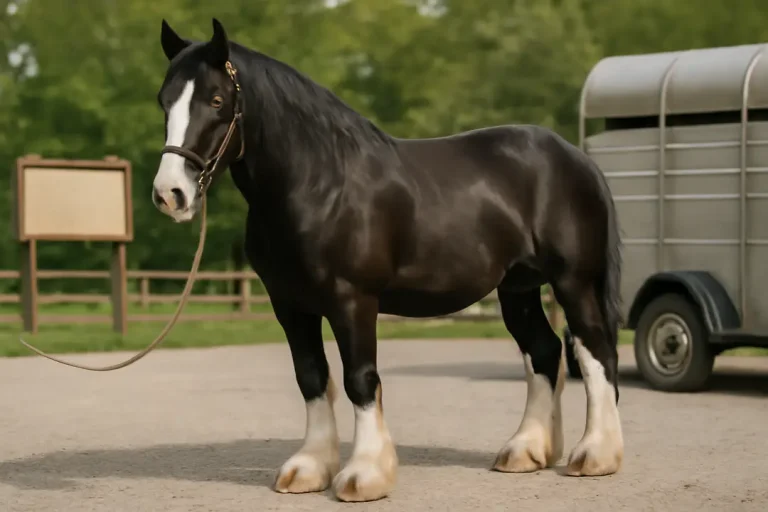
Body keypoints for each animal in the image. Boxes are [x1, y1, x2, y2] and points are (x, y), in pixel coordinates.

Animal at [151, 18, 624, 503]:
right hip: (518, 287)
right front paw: (309, 468)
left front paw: (364, 474)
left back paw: (596, 455)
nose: (171, 194)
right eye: (164, 101)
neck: (319, 184)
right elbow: (311, 376)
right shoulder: (290, 304)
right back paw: (525, 450)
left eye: (216, 100)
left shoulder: (353, 300)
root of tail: (576, 158)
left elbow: (359, 379)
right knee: (544, 351)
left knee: (594, 351)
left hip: (574, 282)